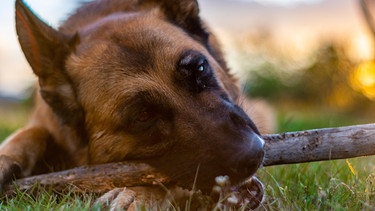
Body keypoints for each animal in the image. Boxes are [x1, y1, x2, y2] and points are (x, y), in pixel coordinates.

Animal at [0, 0, 272, 209]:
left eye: (200, 69)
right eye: (143, 115)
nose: (254, 153)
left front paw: (135, 193)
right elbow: (30, 132)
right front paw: (5, 157)